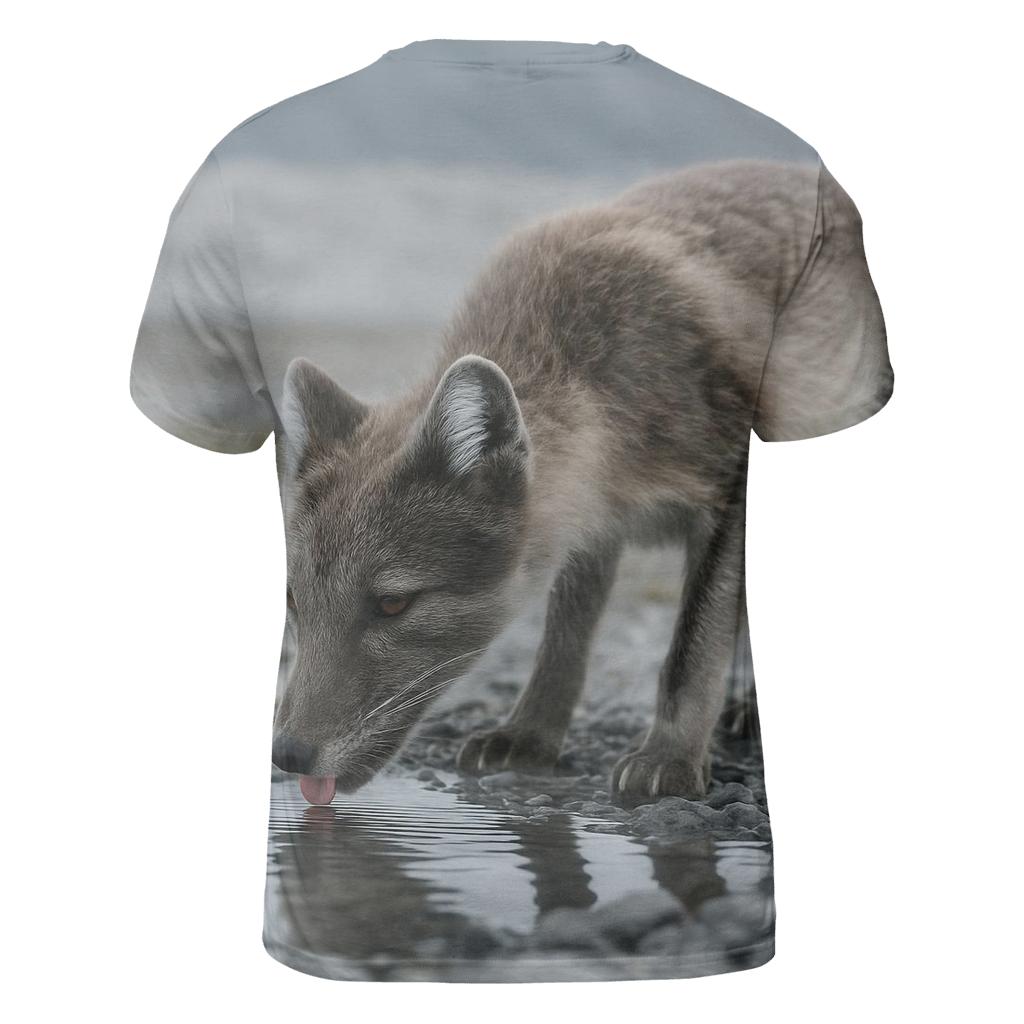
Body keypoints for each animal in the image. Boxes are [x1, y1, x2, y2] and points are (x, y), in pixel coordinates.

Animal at [271, 159, 878, 806]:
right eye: (293, 599)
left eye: (393, 604)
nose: (286, 755)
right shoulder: (589, 527)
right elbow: (564, 640)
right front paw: (530, 737)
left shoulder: (726, 493)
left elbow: (690, 652)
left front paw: (669, 759)